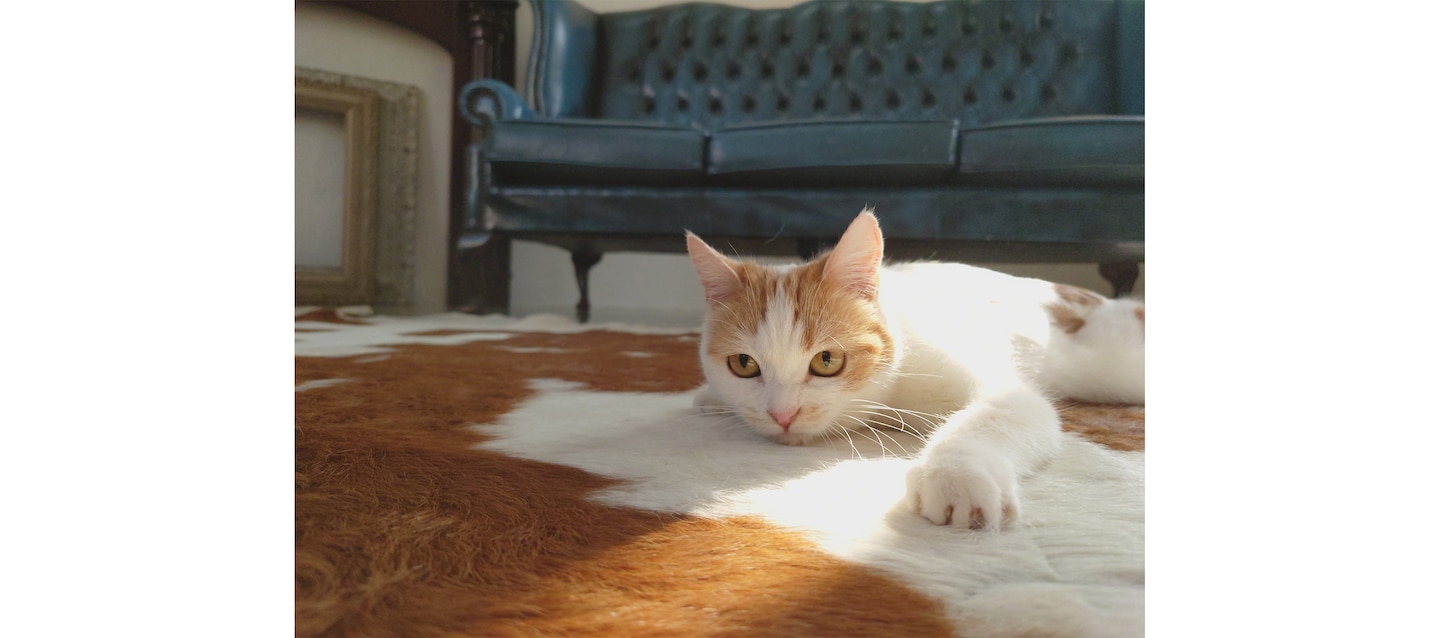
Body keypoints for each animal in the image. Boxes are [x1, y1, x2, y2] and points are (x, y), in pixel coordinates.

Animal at [685, 210, 1146, 529]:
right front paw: (710, 398)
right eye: (744, 364)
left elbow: (1001, 413)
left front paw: (958, 474)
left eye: (826, 361)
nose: (782, 415)